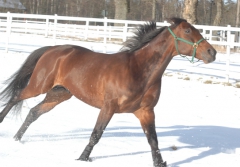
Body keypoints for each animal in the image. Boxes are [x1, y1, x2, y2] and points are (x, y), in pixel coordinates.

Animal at [0, 17, 217, 166]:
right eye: (188, 30)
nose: (212, 53)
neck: (138, 70)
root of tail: (53, 49)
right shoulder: (109, 107)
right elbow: (96, 134)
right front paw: (82, 158)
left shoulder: (146, 112)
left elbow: (153, 141)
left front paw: (159, 162)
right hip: (39, 86)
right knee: (15, 98)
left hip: (59, 94)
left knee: (33, 112)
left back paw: (17, 139)